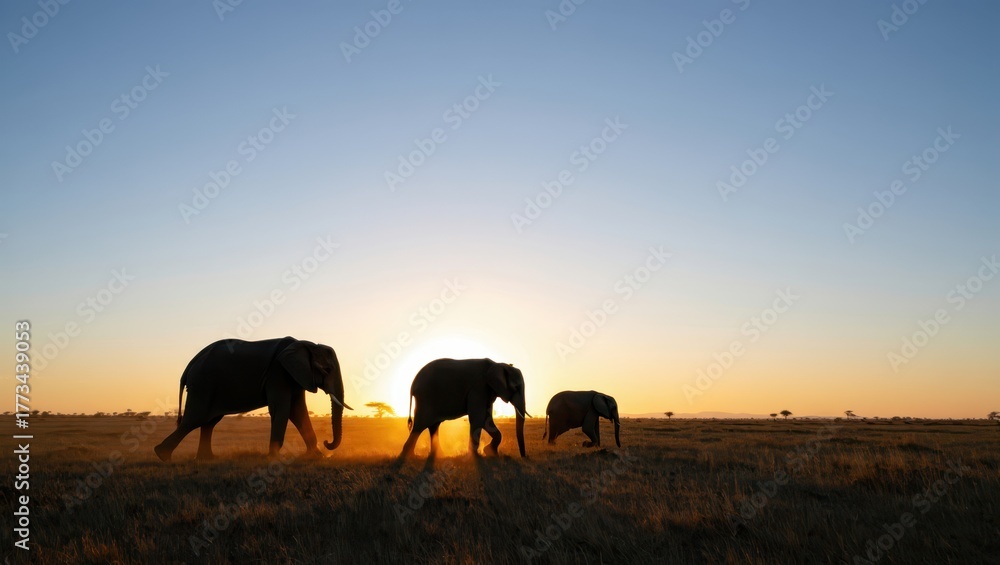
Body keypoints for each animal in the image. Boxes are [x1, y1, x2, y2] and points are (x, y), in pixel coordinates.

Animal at [154, 337, 353, 461]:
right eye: (327, 370)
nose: (327, 442)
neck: (306, 344)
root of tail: (189, 366)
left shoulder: (295, 376)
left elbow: (298, 412)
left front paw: (318, 457)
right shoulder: (278, 373)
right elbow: (282, 409)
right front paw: (275, 458)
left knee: (209, 422)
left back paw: (206, 459)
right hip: (204, 383)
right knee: (195, 419)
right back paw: (162, 455)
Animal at [399, 358, 530, 459]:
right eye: (516, 387)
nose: (524, 457)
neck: (498, 364)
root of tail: (412, 385)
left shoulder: (487, 391)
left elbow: (486, 419)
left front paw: (491, 453)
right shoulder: (478, 388)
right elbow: (478, 418)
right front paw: (476, 456)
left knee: (433, 426)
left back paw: (439, 455)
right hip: (426, 398)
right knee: (420, 425)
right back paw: (409, 456)